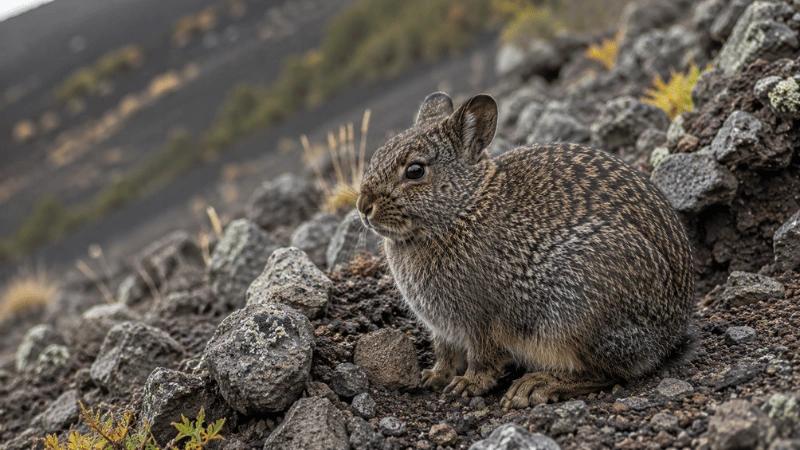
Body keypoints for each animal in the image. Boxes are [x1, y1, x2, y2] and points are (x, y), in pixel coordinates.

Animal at [356, 92, 695, 409]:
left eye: (415, 171)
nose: (363, 206)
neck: (463, 208)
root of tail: (670, 332)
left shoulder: (481, 320)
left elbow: (483, 359)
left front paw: (467, 385)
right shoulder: (444, 331)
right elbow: (446, 354)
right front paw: (434, 377)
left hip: (578, 311)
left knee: (606, 372)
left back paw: (536, 386)